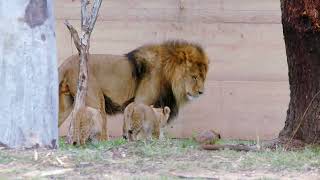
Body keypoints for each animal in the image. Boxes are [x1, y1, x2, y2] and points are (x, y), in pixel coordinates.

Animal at [59, 40, 210, 140]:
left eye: (203, 78)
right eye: (194, 77)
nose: (201, 92)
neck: (167, 74)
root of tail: (66, 62)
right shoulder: (141, 101)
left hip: (65, 103)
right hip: (96, 100)